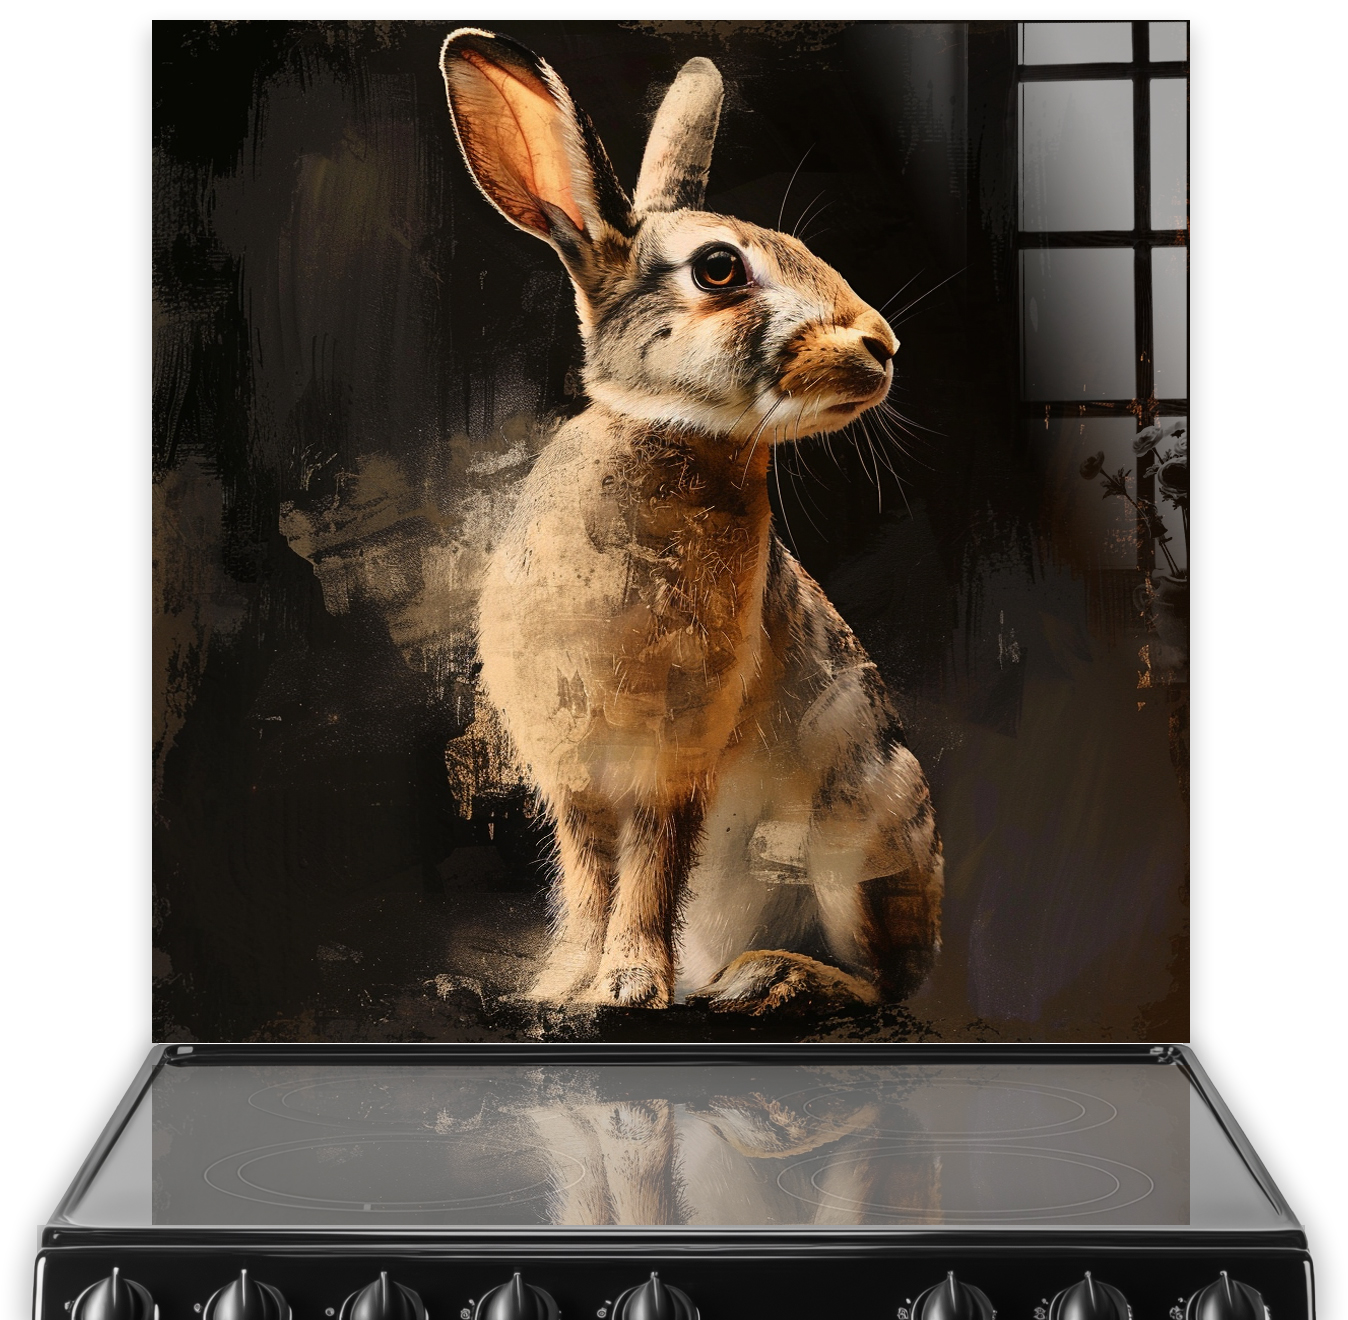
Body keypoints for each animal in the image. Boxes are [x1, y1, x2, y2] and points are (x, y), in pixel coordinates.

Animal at [440, 29, 943, 1014]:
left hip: (854, 841)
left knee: (883, 987)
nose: (883, 344)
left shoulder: (678, 753)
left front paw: (628, 986)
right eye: (720, 268)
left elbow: (650, 866)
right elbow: (589, 871)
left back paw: (770, 978)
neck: (667, 434)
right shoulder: (574, 769)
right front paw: (562, 983)